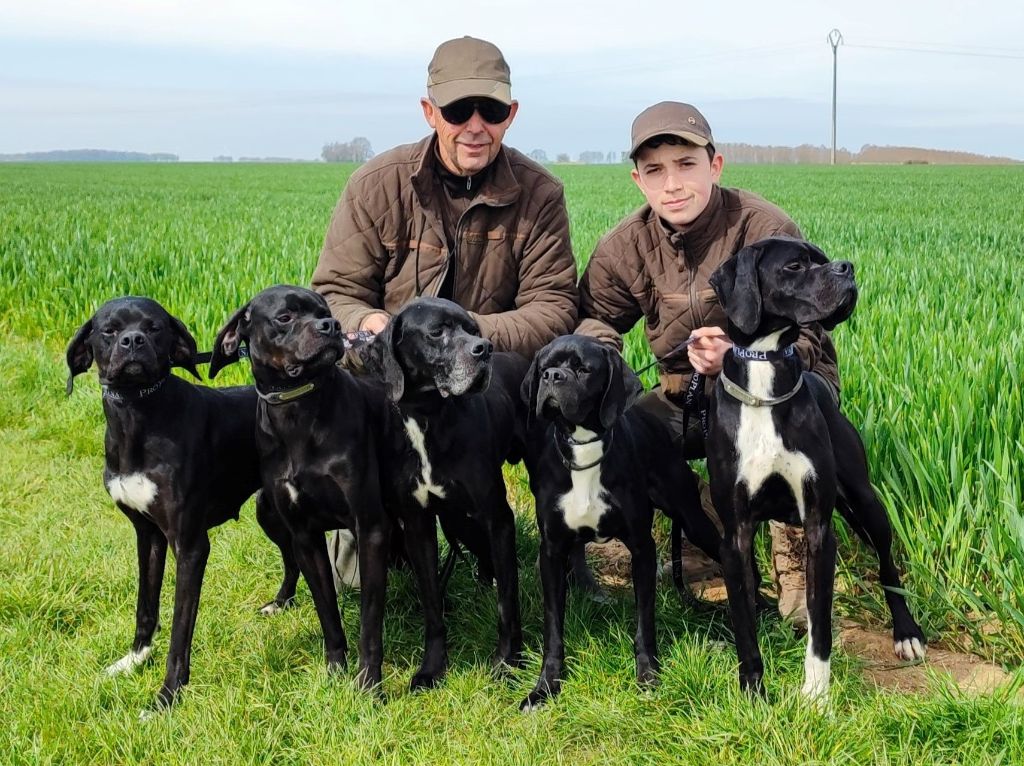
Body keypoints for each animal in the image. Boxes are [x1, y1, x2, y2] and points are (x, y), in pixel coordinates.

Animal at [66, 296, 294, 712]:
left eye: (154, 327)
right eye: (109, 329)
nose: (133, 341)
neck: (138, 415)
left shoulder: (190, 546)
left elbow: (179, 629)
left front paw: (167, 696)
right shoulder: (148, 535)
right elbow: (146, 606)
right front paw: (134, 659)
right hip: (270, 511)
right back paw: (279, 603)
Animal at [209, 285, 392, 691]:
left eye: (325, 311)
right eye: (285, 317)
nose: (332, 326)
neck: (298, 408)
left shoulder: (370, 528)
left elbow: (371, 621)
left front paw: (369, 682)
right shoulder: (305, 534)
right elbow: (326, 611)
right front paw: (336, 669)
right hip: (269, 515)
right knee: (289, 562)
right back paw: (280, 601)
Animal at [361, 297, 529, 689]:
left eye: (472, 329)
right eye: (437, 332)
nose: (484, 349)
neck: (428, 417)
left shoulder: (498, 518)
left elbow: (507, 602)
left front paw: (508, 662)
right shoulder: (418, 525)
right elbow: (432, 603)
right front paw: (432, 668)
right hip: (458, 521)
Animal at [518, 334, 723, 709]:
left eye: (584, 369)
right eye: (543, 367)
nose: (553, 377)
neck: (584, 450)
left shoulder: (642, 548)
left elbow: (645, 622)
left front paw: (648, 674)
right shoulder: (551, 550)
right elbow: (553, 629)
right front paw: (545, 687)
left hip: (692, 519)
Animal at [705, 236, 926, 701]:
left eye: (822, 259)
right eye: (794, 266)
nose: (847, 267)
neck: (764, 377)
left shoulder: (819, 528)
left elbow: (820, 623)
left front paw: (816, 696)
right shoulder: (734, 535)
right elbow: (743, 623)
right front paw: (753, 692)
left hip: (866, 505)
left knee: (887, 565)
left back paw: (906, 632)